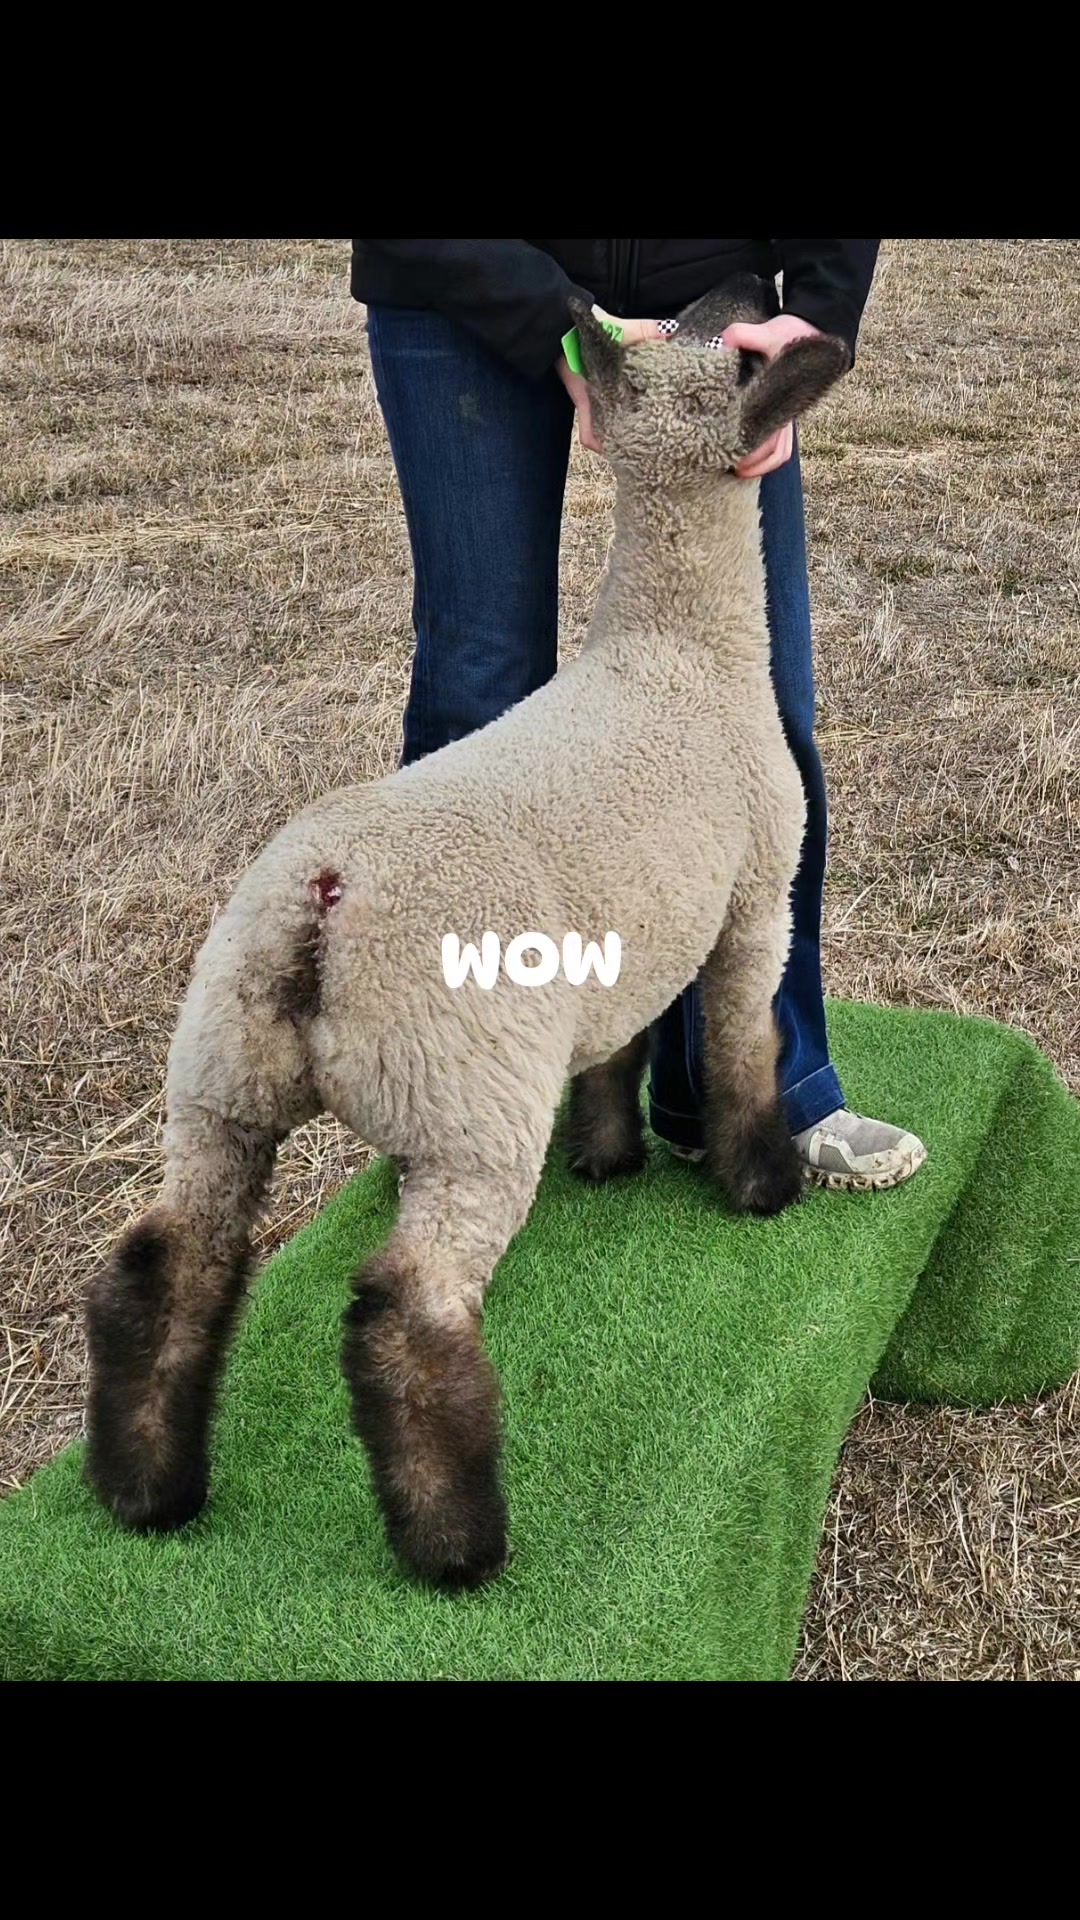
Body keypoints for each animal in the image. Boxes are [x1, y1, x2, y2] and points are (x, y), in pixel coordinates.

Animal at [84, 276, 851, 1590]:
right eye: (719, 339)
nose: (747, 287)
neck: (676, 652)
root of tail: (322, 904)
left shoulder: (621, 941)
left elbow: (618, 1046)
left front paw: (608, 1156)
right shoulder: (754, 898)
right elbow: (745, 1046)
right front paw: (760, 1185)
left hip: (218, 1083)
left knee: (170, 1265)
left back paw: (148, 1492)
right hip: (466, 1109)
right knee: (406, 1314)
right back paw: (456, 1546)